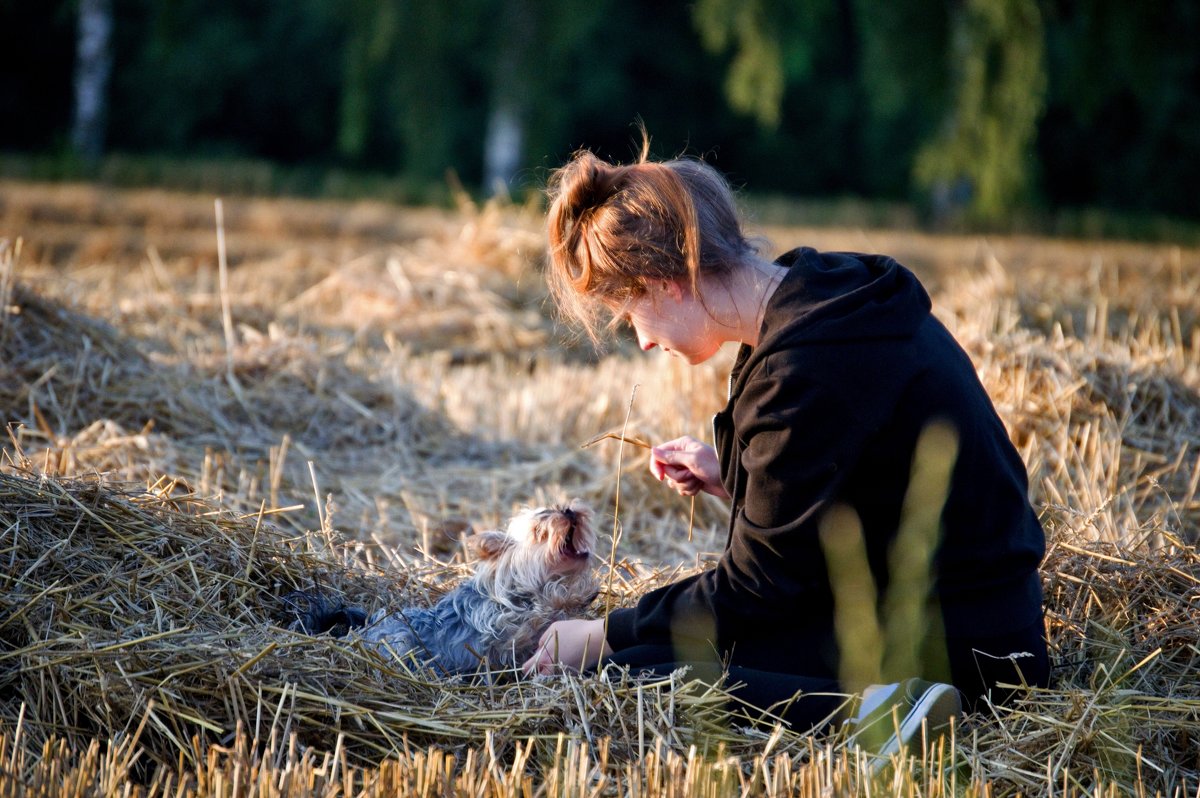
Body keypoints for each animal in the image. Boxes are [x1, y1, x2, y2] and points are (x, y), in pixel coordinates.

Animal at [286, 501, 595, 676]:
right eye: (539, 532)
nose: (568, 511)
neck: (519, 590)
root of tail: (361, 633)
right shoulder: (504, 630)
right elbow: (541, 612)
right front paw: (575, 594)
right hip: (400, 642)